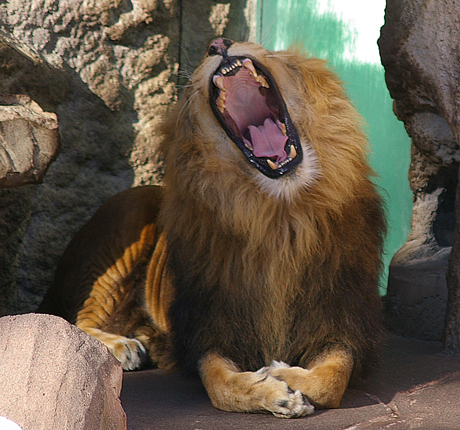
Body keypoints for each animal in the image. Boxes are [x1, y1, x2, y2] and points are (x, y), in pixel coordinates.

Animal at [38, 37, 384, 420]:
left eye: (265, 47)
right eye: (209, 50)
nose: (219, 43)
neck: (278, 214)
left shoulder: (342, 322)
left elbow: (331, 380)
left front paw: (281, 374)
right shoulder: (210, 331)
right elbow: (221, 386)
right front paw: (273, 390)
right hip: (128, 214)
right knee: (77, 321)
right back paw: (122, 346)